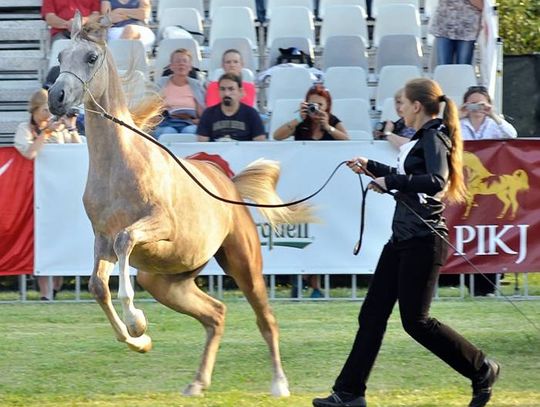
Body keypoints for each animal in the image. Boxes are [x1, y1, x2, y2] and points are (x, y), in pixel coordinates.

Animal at [48, 15, 314, 398]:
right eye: (62, 56)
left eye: (91, 57)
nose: (56, 97)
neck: (120, 166)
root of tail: (230, 184)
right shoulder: (101, 240)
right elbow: (97, 287)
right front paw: (140, 341)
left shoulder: (156, 227)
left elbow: (126, 241)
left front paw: (137, 321)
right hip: (168, 282)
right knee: (215, 314)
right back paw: (197, 382)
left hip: (244, 264)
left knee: (266, 319)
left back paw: (279, 384)